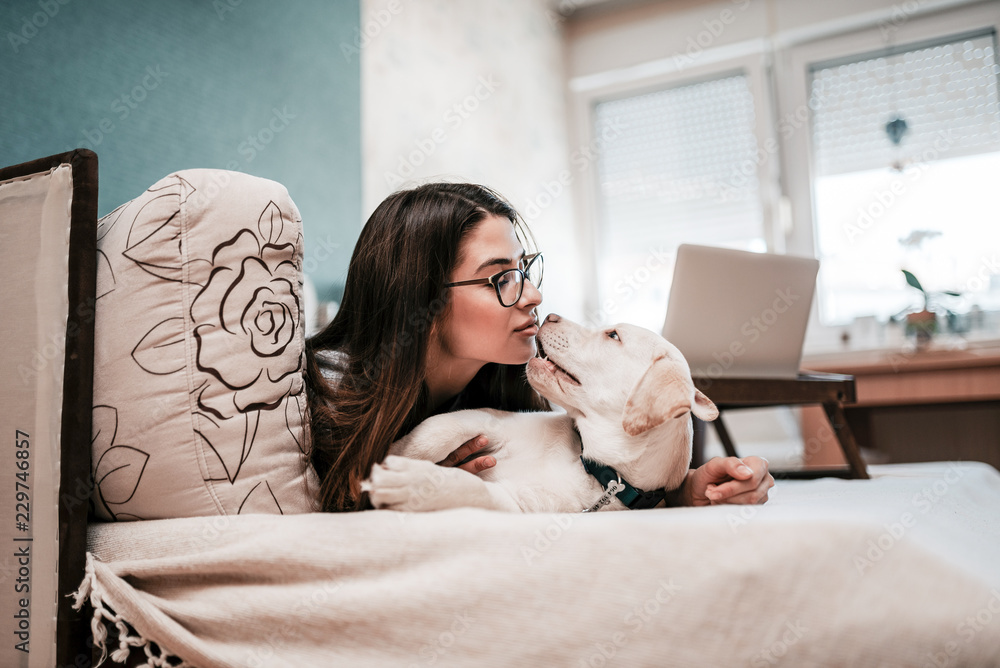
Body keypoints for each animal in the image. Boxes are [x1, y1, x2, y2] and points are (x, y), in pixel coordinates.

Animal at [362, 314, 720, 512]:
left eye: (613, 335)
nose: (547, 314)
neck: (585, 462)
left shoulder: (514, 503)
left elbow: (467, 487)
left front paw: (408, 482)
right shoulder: (490, 418)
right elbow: (436, 433)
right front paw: (393, 454)